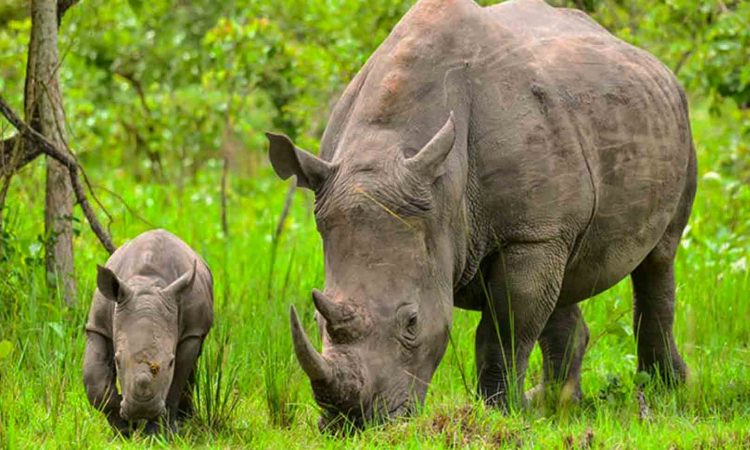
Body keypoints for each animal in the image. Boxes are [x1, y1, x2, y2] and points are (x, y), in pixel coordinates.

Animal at [83, 229, 213, 435]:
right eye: (117, 361)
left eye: (170, 361)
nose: (141, 409)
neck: (148, 284)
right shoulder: (98, 326)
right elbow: (94, 383)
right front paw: (124, 430)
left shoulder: (192, 332)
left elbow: (174, 384)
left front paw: (157, 434)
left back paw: (184, 421)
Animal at [267, 0, 696, 429]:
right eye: (318, 322)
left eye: (412, 322)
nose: (353, 424)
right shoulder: (536, 229)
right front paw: (518, 410)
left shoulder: (529, 234)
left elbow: (504, 330)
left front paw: (499, 413)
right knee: (563, 278)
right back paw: (554, 405)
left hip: (679, 120)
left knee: (659, 258)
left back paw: (664, 389)